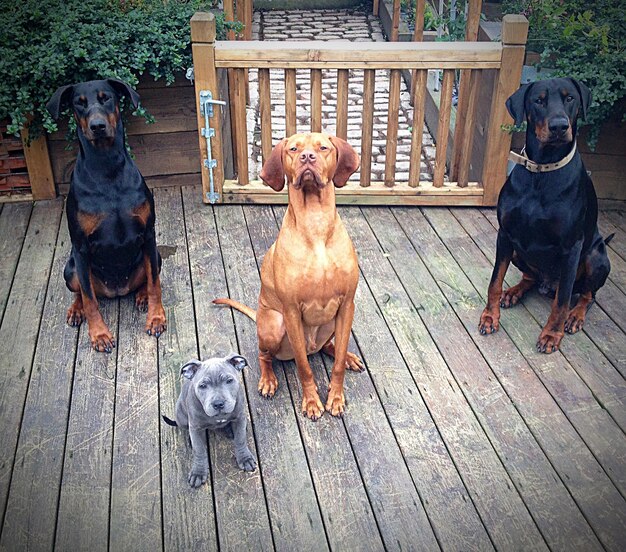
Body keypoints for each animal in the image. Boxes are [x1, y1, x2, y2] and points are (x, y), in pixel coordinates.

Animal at [165, 354, 258, 488]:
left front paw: (245, 458)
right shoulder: (196, 426)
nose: (218, 404)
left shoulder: (240, 417)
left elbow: (240, 439)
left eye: (229, 381)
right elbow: (199, 450)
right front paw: (198, 472)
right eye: (203, 386)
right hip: (180, 415)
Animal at [213, 133, 360, 418]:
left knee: (330, 346)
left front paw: (335, 397)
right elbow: (304, 367)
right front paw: (312, 401)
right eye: (293, 149)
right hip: (273, 325)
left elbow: (336, 364)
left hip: (333, 322)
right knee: (264, 355)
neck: (316, 224)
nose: (307, 157)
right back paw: (268, 379)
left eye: (322, 147)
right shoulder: (291, 311)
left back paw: (347, 356)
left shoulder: (347, 304)